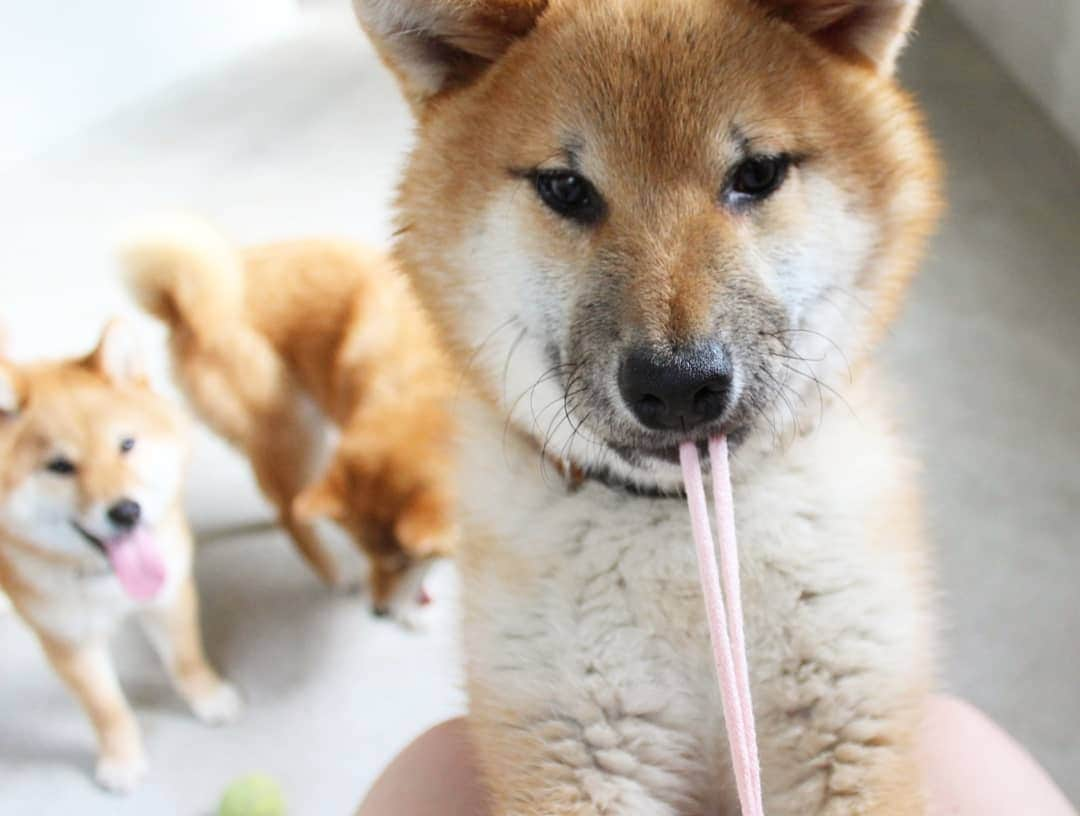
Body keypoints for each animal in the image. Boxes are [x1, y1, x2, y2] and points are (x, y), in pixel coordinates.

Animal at [0, 321, 240, 794]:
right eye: (59, 466)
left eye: (126, 444)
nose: (127, 511)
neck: (106, 580)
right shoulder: (66, 638)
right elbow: (105, 706)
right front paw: (122, 759)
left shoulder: (169, 595)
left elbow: (185, 659)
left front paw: (209, 699)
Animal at [124, 223, 457, 617]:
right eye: (368, 553)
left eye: (406, 560)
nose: (379, 612)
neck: (417, 384)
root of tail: (183, 311)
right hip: (296, 430)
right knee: (289, 515)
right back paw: (336, 577)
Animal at [356, 0, 946, 811]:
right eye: (566, 188)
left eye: (756, 174)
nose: (677, 384)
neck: (684, 547)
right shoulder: (575, 741)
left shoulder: (850, 714)